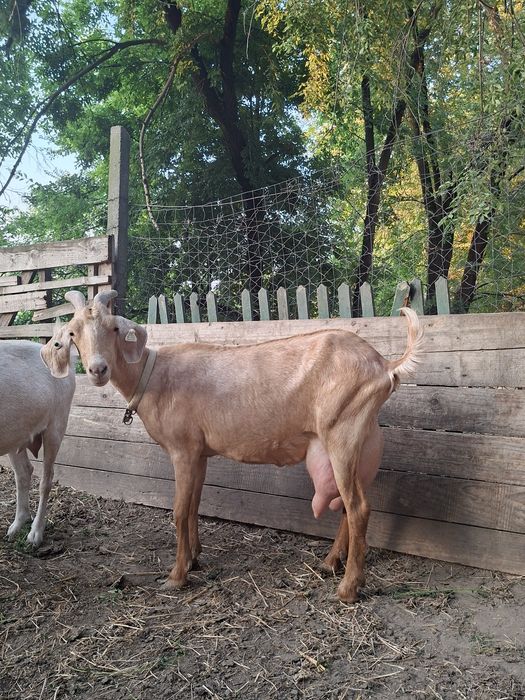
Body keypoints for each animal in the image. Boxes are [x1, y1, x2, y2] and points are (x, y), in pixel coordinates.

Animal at [1, 338, 75, 547]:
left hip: (56, 424)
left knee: (46, 479)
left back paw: (35, 534)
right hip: (15, 432)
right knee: (24, 472)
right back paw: (17, 525)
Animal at [42, 290, 423, 602]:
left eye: (113, 329)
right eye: (73, 332)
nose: (98, 369)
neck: (153, 376)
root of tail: (385, 365)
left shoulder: (182, 449)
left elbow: (178, 510)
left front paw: (176, 577)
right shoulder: (199, 452)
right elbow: (193, 505)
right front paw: (194, 558)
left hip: (342, 434)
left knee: (358, 508)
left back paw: (348, 589)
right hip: (364, 443)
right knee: (349, 504)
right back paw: (330, 564)